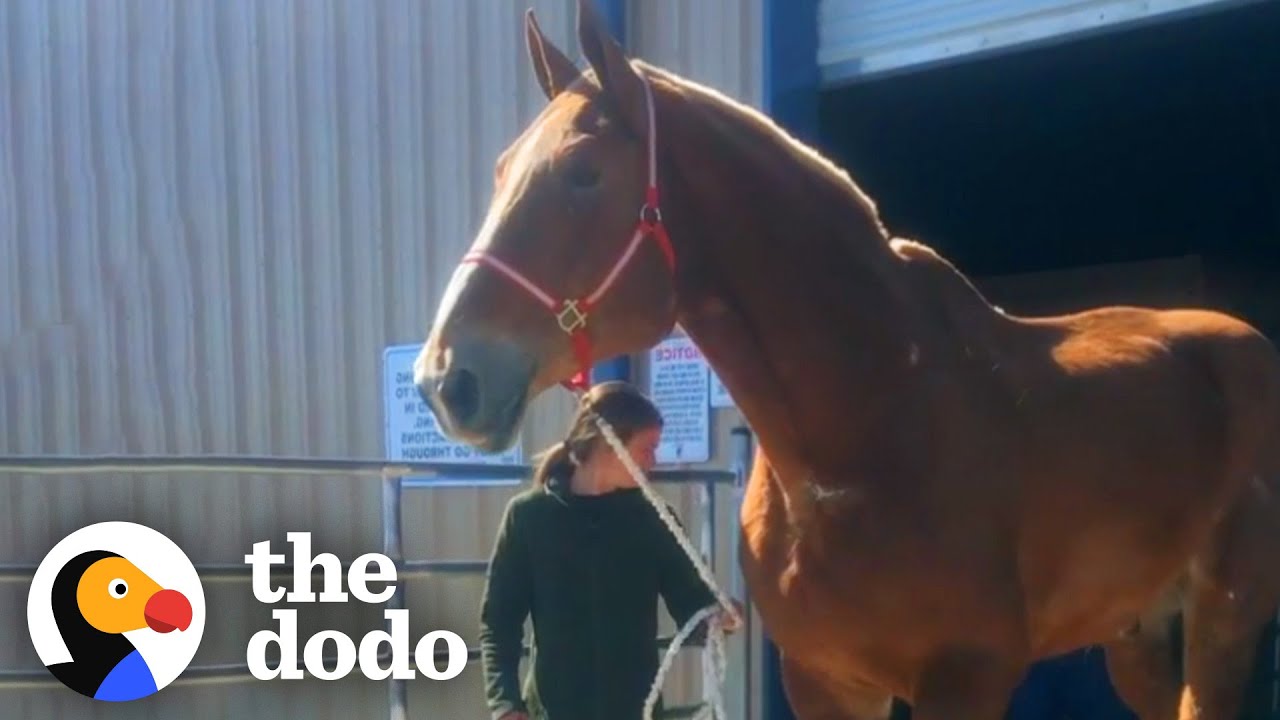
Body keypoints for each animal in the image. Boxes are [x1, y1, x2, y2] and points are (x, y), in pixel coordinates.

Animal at [413, 2, 1280, 717]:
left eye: (584, 173)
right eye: (502, 171)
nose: (444, 379)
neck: (872, 422)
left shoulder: (968, 678)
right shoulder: (824, 681)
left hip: (1223, 621)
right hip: (1139, 634)